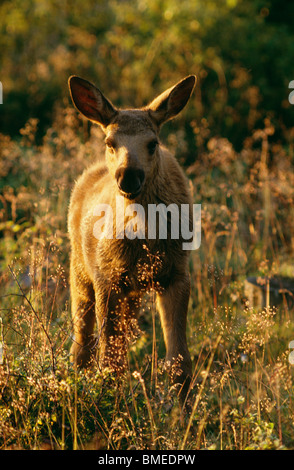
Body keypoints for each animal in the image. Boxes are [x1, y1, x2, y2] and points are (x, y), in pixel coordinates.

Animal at [68, 73, 196, 400]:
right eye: (109, 142)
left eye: (153, 143)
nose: (128, 177)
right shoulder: (107, 278)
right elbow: (109, 364)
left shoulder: (177, 274)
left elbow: (179, 363)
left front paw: (182, 408)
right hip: (81, 272)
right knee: (83, 344)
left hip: (132, 292)